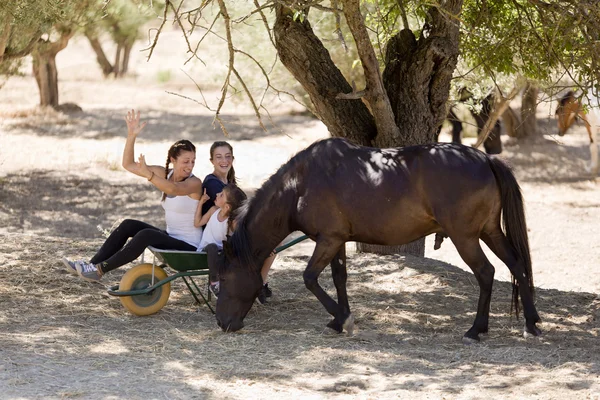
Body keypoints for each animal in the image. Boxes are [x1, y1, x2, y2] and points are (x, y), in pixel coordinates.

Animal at [217, 138, 544, 344]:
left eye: (224, 279)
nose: (222, 323)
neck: (300, 185)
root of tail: (486, 158)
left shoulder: (327, 240)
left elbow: (310, 278)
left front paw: (343, 318)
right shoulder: (337, 241)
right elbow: (339, 278)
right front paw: (338, 320)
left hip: (466, 237)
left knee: (486, 273)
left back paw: (476, 330)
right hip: (489, 231)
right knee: (516, 265)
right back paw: (530, 324)